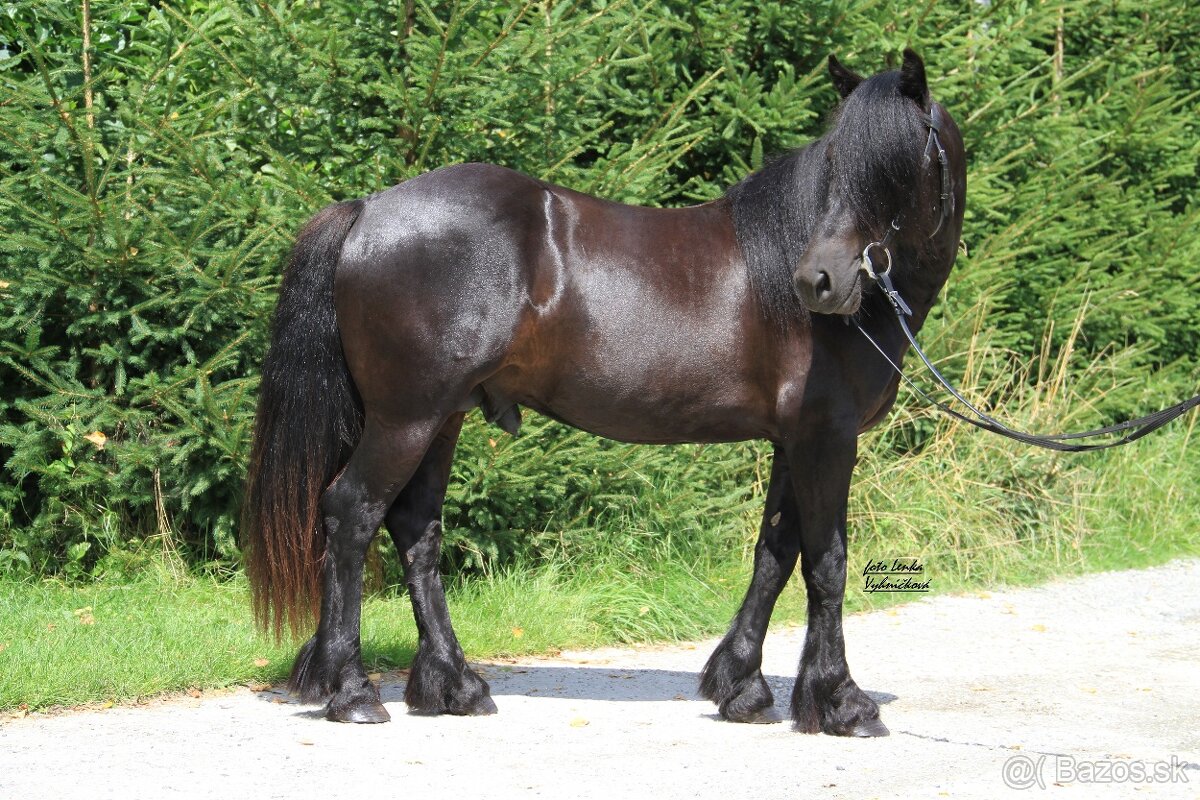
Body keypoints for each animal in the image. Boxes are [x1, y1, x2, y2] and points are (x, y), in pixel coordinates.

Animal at [242, 49, 966, 736]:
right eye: (838, 160)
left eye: (897, 165)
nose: (820, 280)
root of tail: (367, 211)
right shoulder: (826, 438)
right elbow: (827, 562)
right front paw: (843, 703)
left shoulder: (796, 441)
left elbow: (776, 555)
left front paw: (741, 687)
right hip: (404, 419)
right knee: (352, 514)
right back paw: (351, 691)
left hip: (440, 419)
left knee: (416, 531)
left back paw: (455, 686)